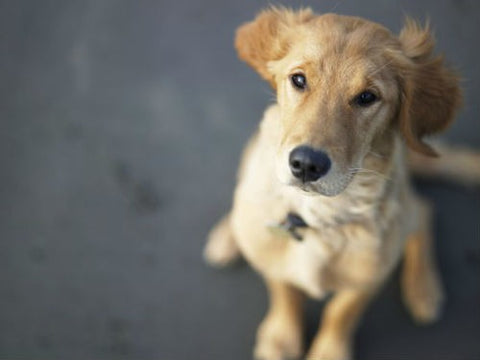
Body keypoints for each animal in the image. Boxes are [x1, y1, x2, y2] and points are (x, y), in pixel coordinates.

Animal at [203, 7, 480, 358]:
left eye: (367, 97)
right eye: (298, 80)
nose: (307, 164)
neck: (317, 215)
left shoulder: (368, 276)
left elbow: (342, 312)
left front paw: (329, 350)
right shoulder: (272, 257)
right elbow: (284, 290)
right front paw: (281, 338)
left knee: (424, 211)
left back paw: (423, 288)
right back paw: (227, 235)